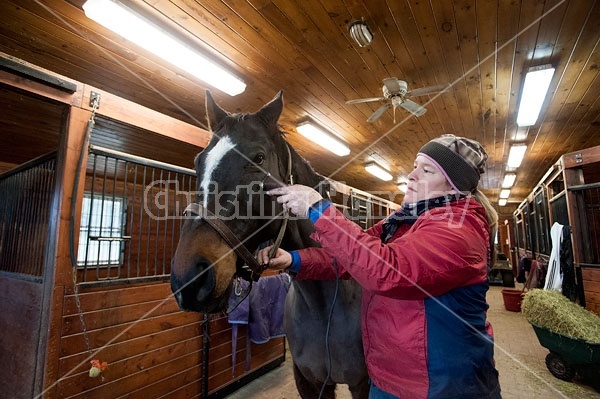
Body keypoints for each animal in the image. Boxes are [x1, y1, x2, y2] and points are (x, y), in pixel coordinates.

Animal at [170, 91, 370, 399]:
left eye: (259, 158)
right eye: (198, 162)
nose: (190, 278)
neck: (326, 304)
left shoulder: (364, 385)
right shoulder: (309, 381)